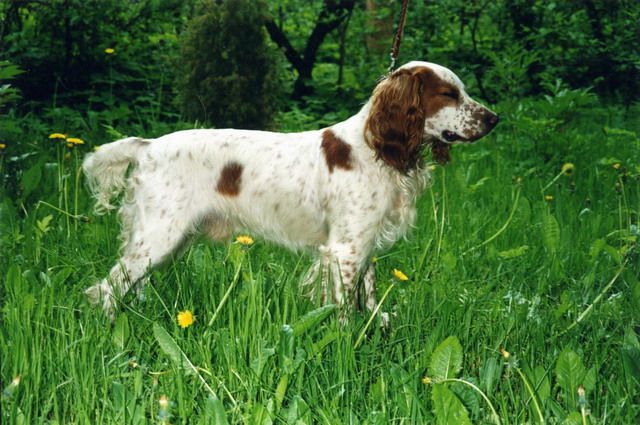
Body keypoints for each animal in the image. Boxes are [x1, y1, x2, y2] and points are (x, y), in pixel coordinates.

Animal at [82, 61, 498, 322]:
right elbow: (343, 308)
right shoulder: (345, 249)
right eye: (448, 93)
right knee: (107, 286)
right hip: (159, 236)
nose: (494, 118)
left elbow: (367, 297)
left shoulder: (363, 243)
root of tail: (147, 146)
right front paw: (347, 345)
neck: (375, 148)